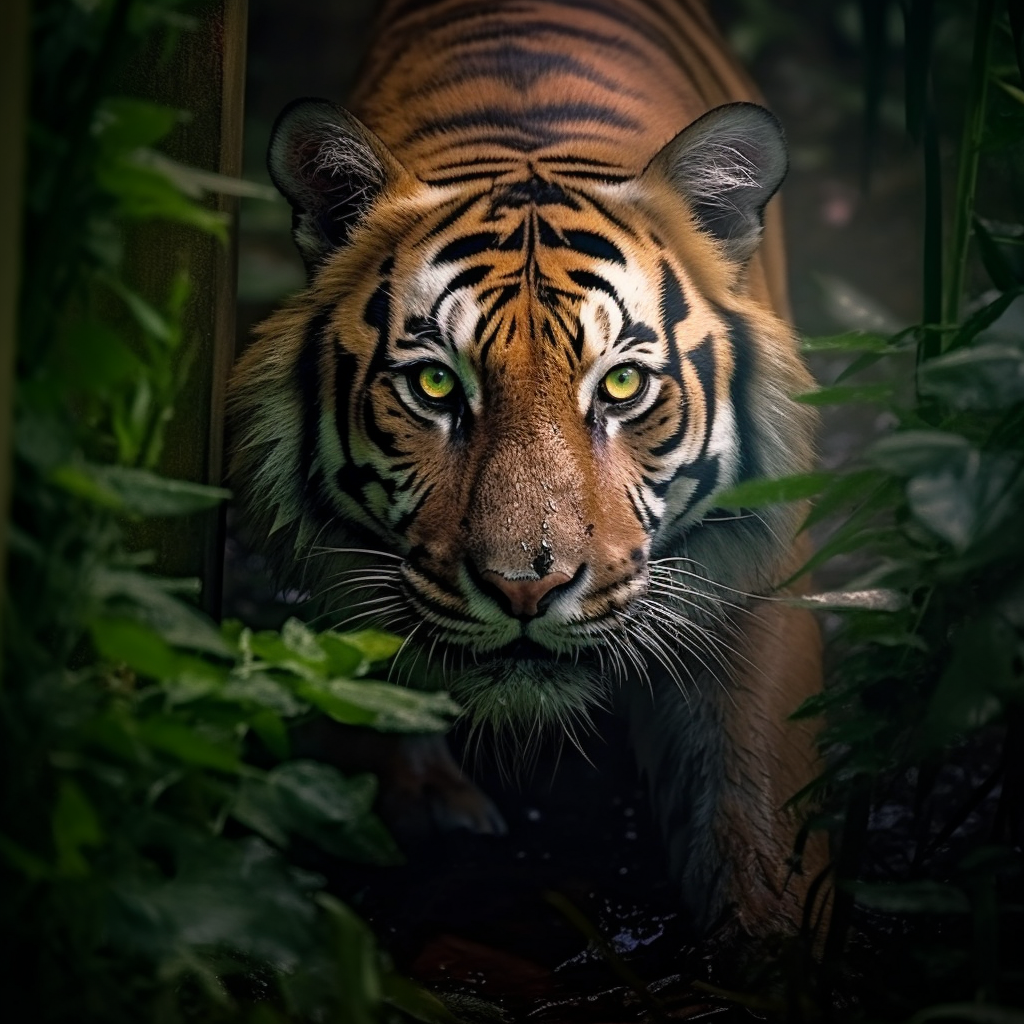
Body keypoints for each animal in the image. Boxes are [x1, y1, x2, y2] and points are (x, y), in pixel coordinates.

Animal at [229, 0, 826, 938]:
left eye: (620, 385)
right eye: (436, 384)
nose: (525, 588)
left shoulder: (762, 579)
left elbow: (758, 799)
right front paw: (423, 810)